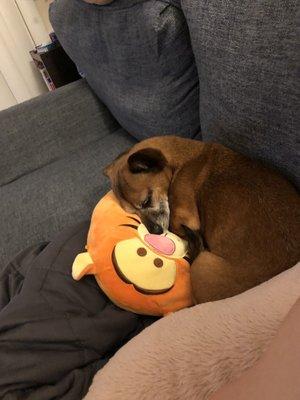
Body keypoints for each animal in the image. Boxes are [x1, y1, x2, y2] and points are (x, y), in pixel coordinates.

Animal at [103, 138, 300, 304]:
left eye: (146, 201)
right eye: (134, 213)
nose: (155, 232)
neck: (181, 160)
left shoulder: (184, 216)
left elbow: (176, 224)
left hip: (201, 264)